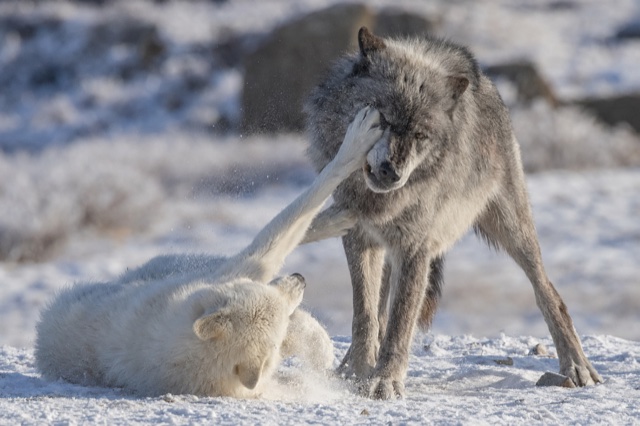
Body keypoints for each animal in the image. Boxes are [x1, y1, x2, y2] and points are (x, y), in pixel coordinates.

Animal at [35, 106, 383, 398]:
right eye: (271, 301)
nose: (300, 278)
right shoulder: (242, 271)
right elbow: (286, 223)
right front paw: (358, 138)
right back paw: (337, 220)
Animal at [304, 27, 602, 399]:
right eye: (382, 119)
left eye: (420, 134)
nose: (393, 173)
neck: (379, 201)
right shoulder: (359, 238)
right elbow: (366, 316)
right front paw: (357, 373)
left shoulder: (416, 249)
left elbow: (400, 323)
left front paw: (384, 380)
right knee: (379, 311)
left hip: (511, 230)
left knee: (549, 293)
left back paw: (576, 366)